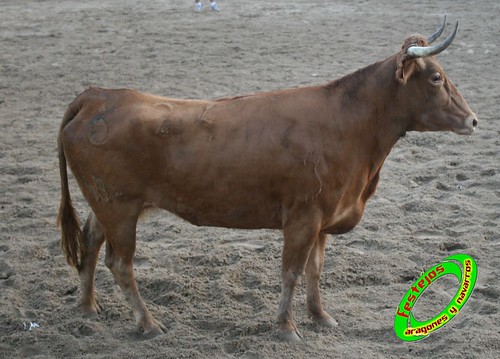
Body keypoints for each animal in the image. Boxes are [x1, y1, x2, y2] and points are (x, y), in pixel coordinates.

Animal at [58, 17, 476, 344]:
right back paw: (147, 323)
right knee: (120, 263)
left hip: (108, 205)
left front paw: (320, 317)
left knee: (91, 241)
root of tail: (98, 97)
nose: (473, 120)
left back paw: (88, 307)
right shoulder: (303, 217)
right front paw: (287, 327)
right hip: (119, 207)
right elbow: (291, 271)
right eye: (436, 78)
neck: (347, 123)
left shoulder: (322, 219)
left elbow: (315, 270)